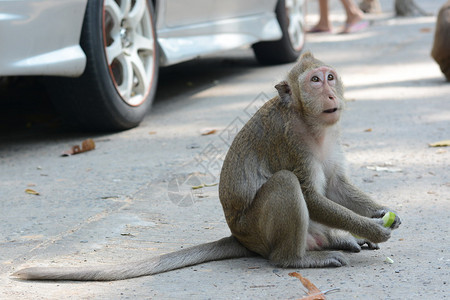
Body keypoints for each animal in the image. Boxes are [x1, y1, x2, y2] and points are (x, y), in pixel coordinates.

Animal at [13, 52, 400, 282]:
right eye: (315, 81)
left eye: (330, 77)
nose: (331, 94)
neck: (309, 122)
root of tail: (240, 238)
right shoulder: (288, 140)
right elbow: (310, 193)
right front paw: (373, 227)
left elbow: (335, 185)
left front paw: (380, 213)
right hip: (259, 230)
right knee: (285, 185)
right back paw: (296, 261)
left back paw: (337, 240)